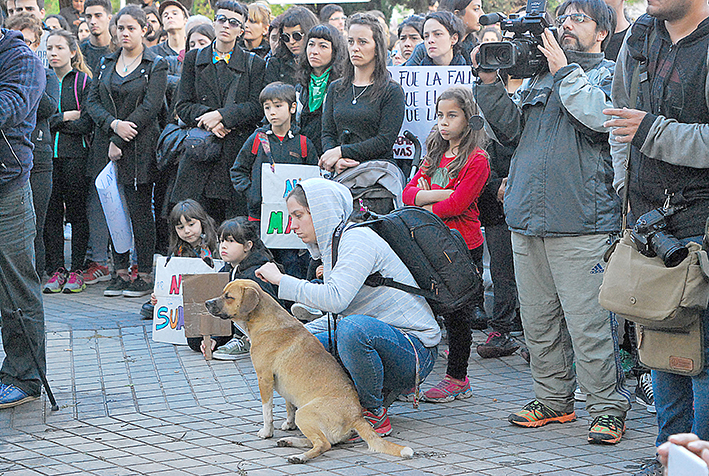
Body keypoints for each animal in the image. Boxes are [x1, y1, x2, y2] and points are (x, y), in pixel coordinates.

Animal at [203, 280, 414, 462]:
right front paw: (288, 425)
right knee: (322, 441)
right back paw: (289, 442)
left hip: (305, 414)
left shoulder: (264, 379)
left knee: (323, 445)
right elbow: (289, 407)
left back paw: (299, 457)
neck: (265, 320)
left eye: (228, 296)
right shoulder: (285, 387)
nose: (206, 302)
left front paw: (266, 432)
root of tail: (356, 415)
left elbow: (267, 411)